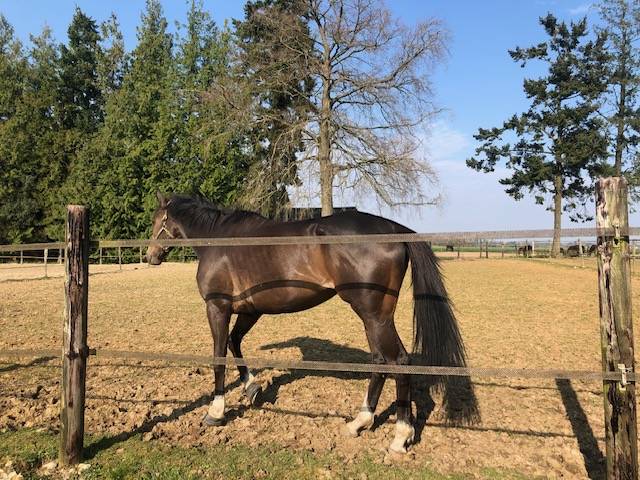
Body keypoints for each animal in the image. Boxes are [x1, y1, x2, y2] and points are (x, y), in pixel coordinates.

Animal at [145, 192, 479, 453]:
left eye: (157, 220)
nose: (151, 255)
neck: (219, 241)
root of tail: (395, 228)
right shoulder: (250, 310)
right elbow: (234, 344)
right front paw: (252, 388)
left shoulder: (218, 307)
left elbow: (218, 356)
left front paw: (216, 411)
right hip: (372, 317)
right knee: (380, 361)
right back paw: (360, 421)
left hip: (374, 315)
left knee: (399, 362)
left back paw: (400, 437)